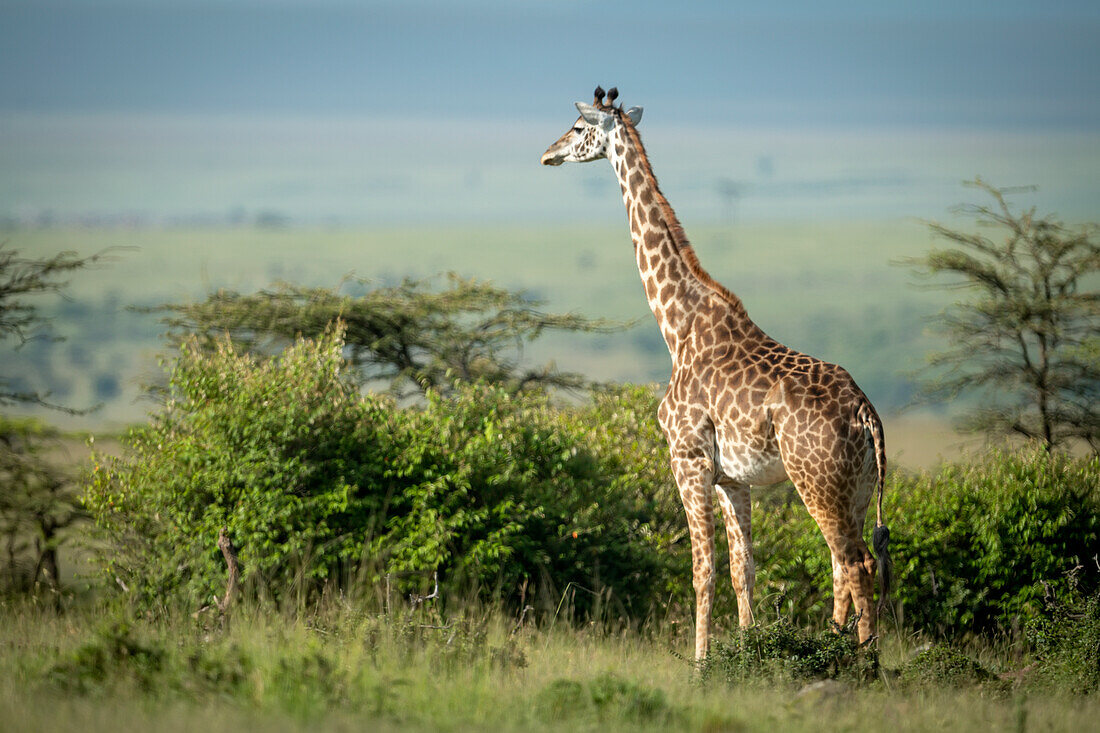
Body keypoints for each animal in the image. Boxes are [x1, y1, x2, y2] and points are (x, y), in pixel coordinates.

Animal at [541, 85, 893, 655]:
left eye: (576, 127)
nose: (547, 154)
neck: (677, 326)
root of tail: (866, 414)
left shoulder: (686, 458)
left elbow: (701, 570)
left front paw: (701, 663)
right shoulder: (732, 477)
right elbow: (741, 569)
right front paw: (748, 653)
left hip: (816, 481)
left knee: (854, 564)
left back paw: (860, 662)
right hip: (858, 489)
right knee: (851, 563)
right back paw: (841, 650)